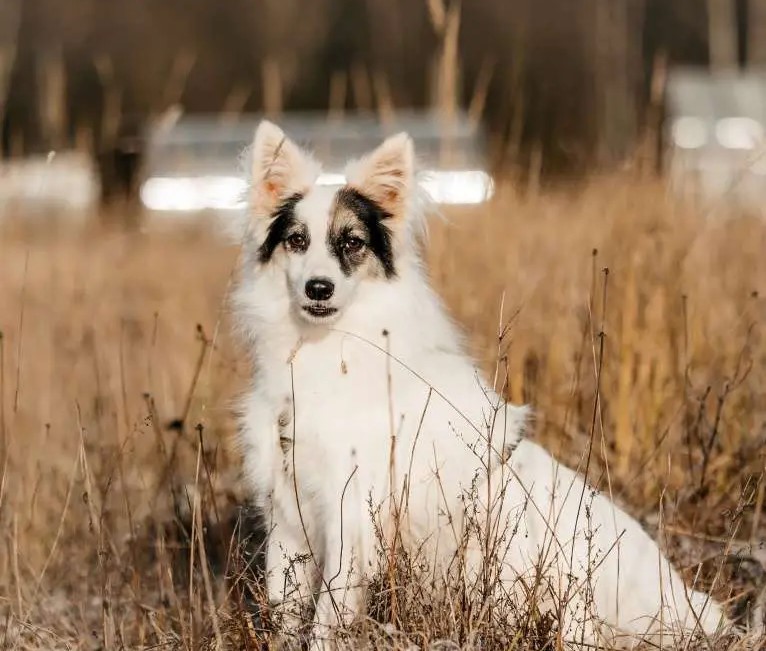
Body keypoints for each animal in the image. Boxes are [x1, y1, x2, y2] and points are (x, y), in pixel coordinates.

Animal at [232, 120, 729, 648]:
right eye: (297, 240)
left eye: (351, 243)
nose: (318, 289)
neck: (325, 354)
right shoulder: (287, 518)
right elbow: (285, 611)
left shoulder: (351, 519)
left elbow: (326, 619)